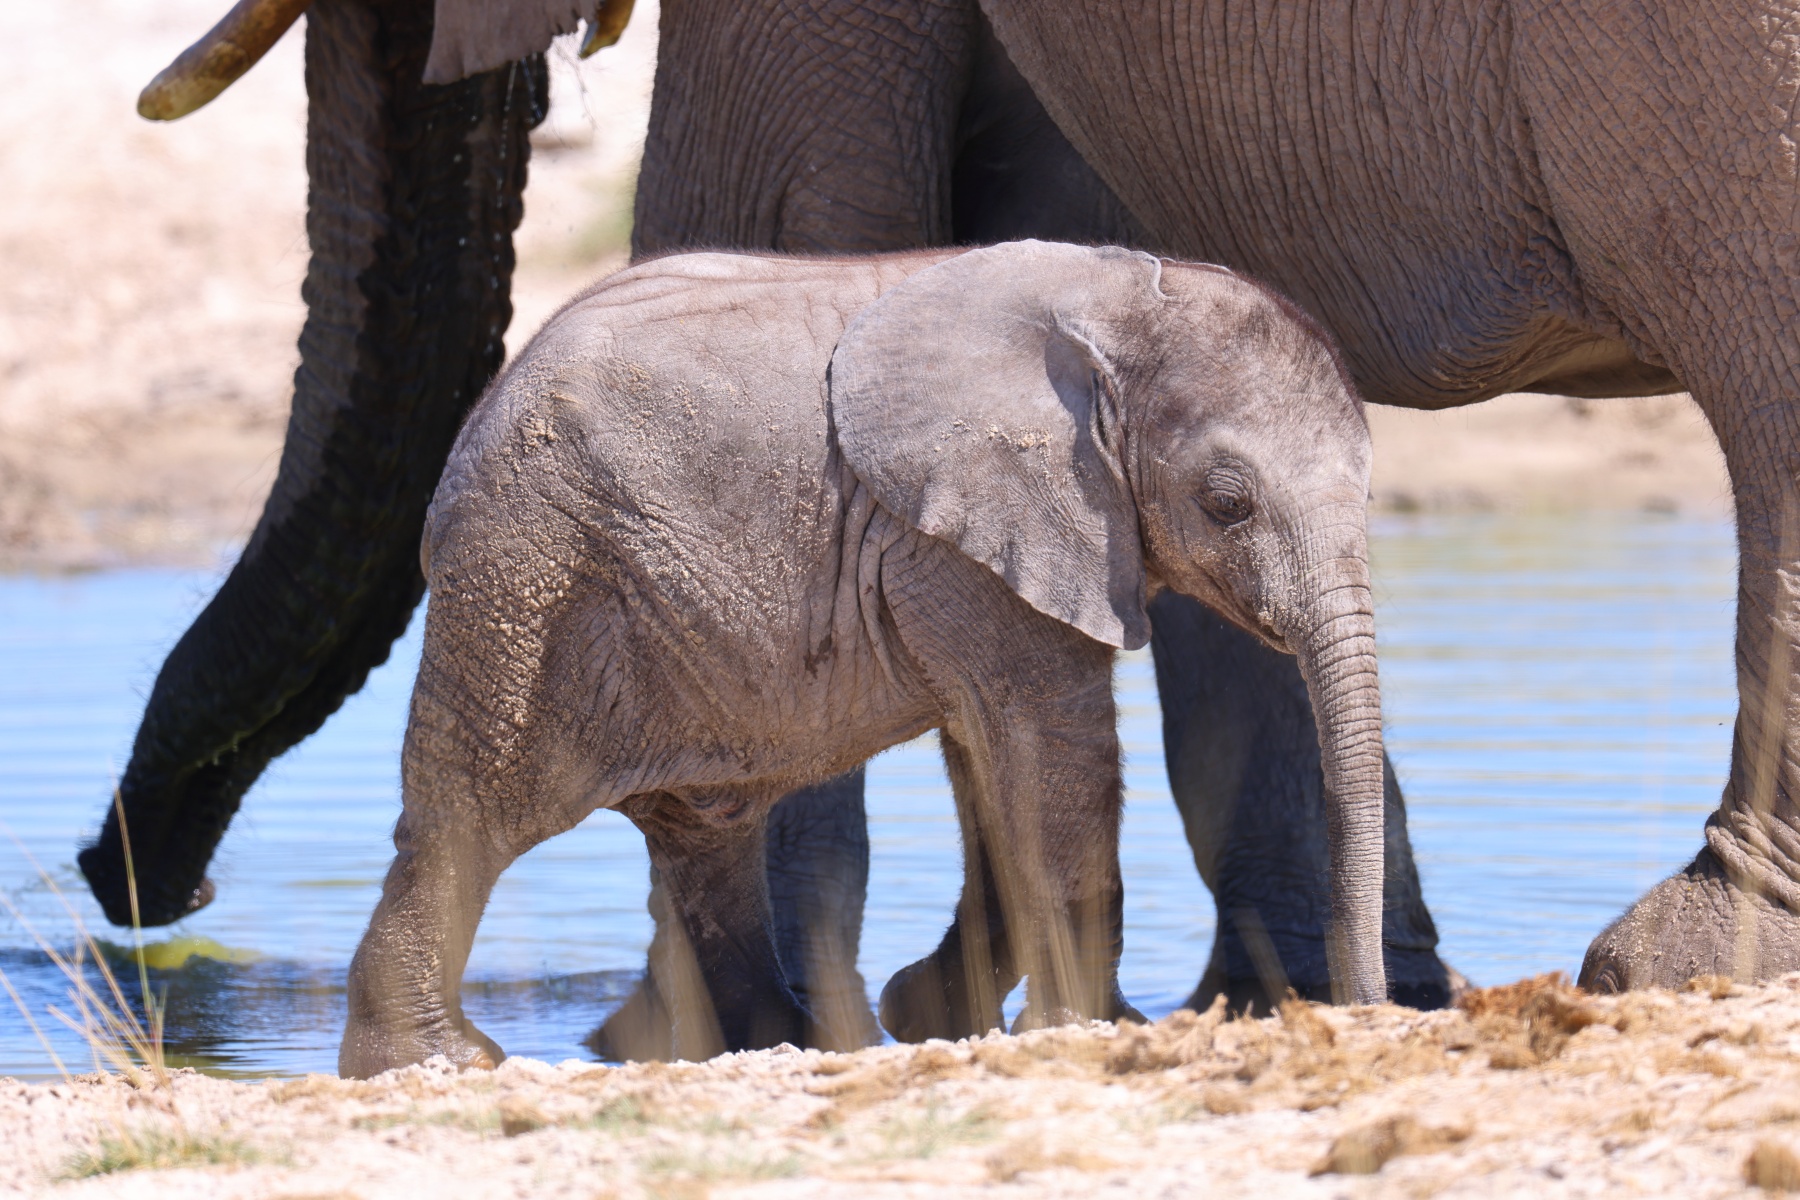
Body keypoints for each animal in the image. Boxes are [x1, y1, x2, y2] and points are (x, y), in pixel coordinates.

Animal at [336, 240, 1391, 1077]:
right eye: (1227, 505)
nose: (1370, 1010)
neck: (1119, 296)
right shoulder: (972, 529)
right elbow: (1051, 744)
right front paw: (1095, 1026)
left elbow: (990, 758)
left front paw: (933, 1011)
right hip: (528, 579)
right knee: (472, 817)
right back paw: (433, 1059)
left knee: (705, 833)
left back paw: (788, 1042)